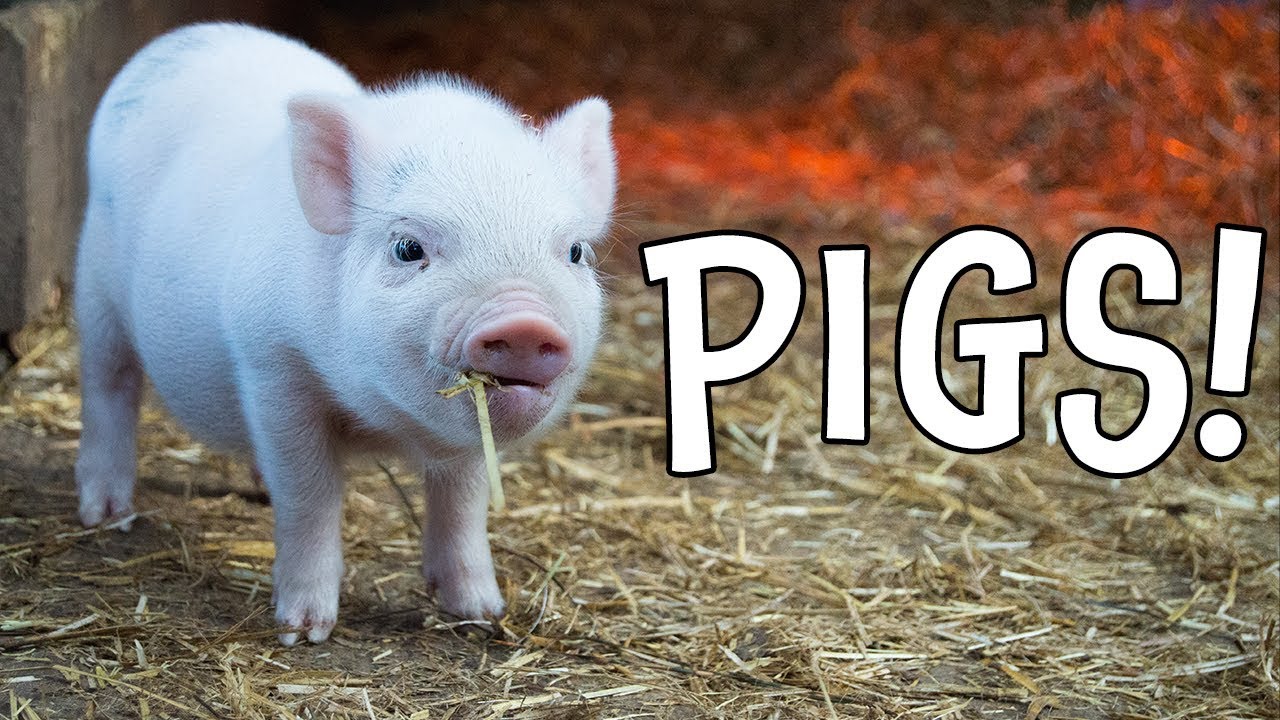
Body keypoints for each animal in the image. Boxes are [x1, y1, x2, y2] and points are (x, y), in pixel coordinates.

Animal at [73, 23, 614, 645]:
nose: (524, 321)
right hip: (95, 286)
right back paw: (105, 515)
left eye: (575, 252)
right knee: (109, 384)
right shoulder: (272, 365)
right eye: (408, 247)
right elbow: (309, 495)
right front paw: (303, 632)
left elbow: (463, 502)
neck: (382, 423)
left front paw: (482, 613)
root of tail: (183, 37)